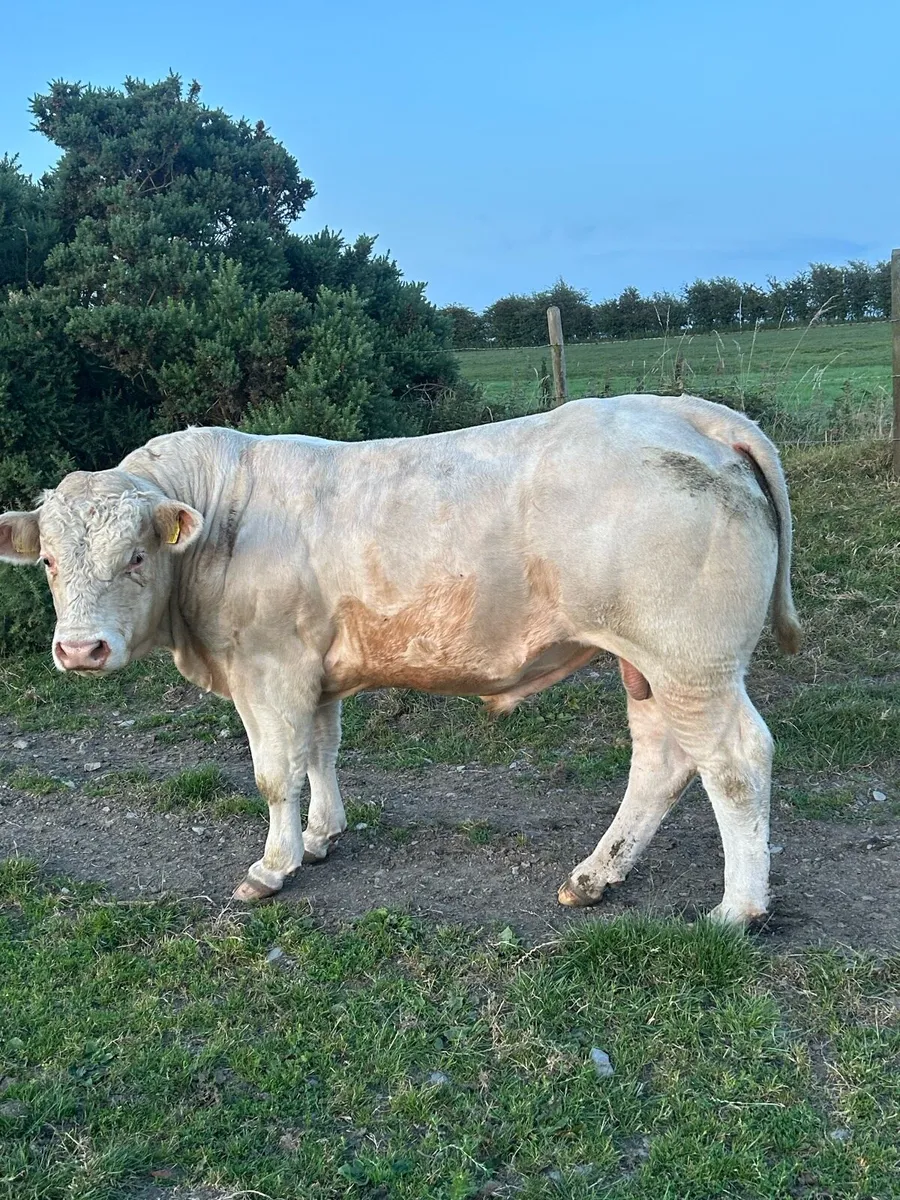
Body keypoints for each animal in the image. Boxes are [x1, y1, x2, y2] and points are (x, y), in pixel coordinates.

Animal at [0, 394, 801, 924]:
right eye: (48, 561)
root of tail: (690, 412)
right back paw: (596, 874)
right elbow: (321, 752)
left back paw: (738, 909)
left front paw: (274, 865)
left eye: (136, 557)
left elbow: (275, 773)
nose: (79, 649)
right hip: (651, 666)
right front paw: (321, 835)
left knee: (735, 761)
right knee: (662, 760)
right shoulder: (316, 671)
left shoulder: (268, 668)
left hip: (691, 660)